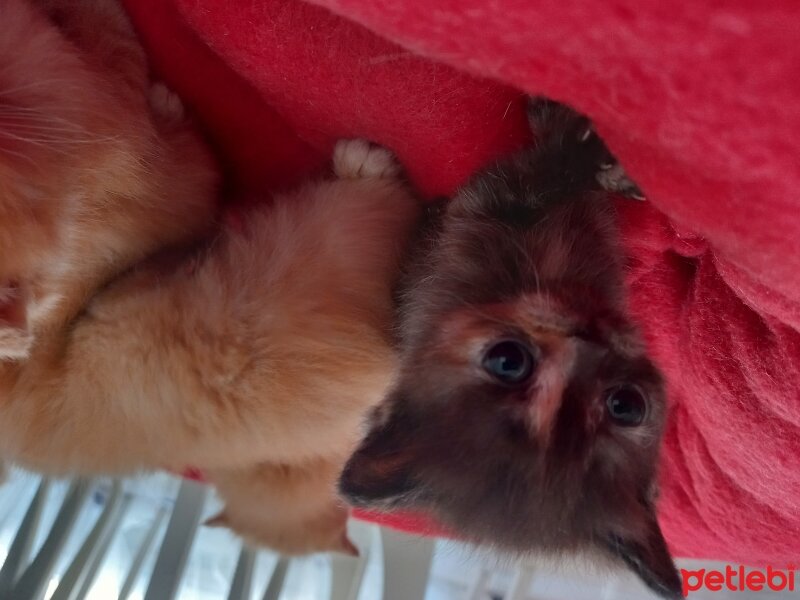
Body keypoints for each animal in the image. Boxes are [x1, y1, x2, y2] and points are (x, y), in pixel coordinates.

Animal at [338, 98, 680, 596]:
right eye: (508, 361)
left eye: (626, 405)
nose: (591, 344)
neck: (552, 281)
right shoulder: (481, 211)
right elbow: (548, 173)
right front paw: (586, 148)